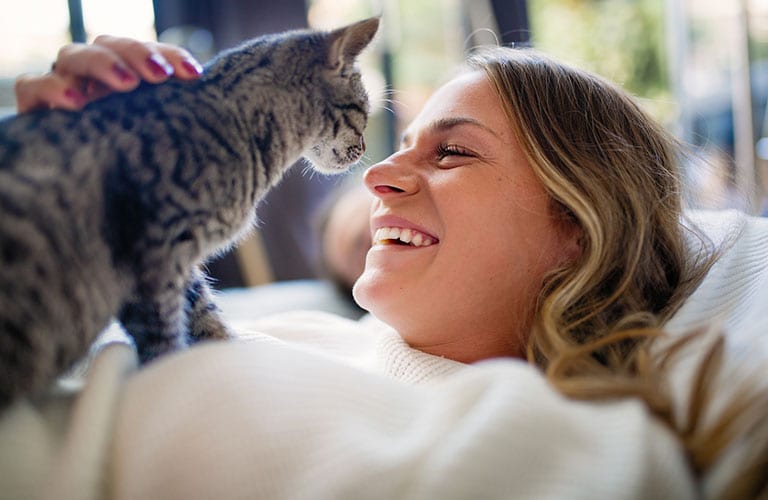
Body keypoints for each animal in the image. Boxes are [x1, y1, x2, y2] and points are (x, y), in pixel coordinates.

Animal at [0, 17, 380, 408]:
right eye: (364, 113)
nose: (364, 148)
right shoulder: (154, 259)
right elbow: (165, 336)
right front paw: (172, 372)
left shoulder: (179, 265)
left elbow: (204, 315)